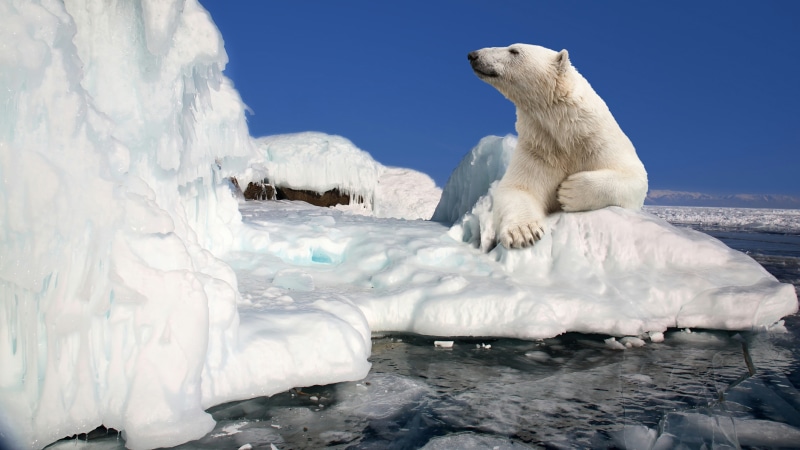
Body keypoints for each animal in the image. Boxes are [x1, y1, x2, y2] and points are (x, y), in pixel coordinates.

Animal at [468, 44, 648, 249]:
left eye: (514, 50)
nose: (473, 55)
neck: (567, 135)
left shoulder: (600, 142)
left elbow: (634, 176)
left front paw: (569, 191)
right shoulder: (539, 149)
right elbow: (518, 188)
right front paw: (524, 232)